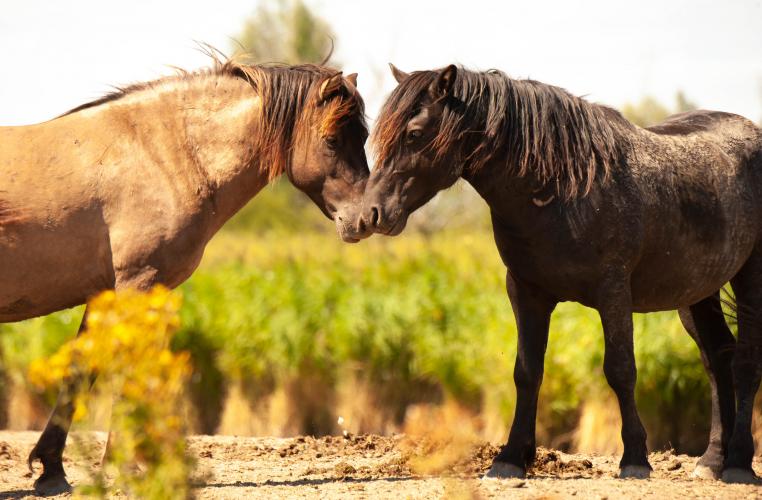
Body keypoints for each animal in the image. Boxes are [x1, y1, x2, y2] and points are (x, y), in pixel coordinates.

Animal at [0, 56, 368, 494]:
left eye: (364, 136)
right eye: (332, 141)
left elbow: (81, 371)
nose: (366, 218)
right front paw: (125, 468)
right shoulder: (138, 286)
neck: (161, 154)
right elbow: (130, 373)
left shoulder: (107, 294)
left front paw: (52, 469)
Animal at [360, 64, 760, 482]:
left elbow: (621, 369)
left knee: (746, 361)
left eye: (414, 133)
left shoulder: (613, 293)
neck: (563, 189)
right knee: (717, 359)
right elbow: (527, 371)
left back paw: (738, 464)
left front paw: (635, 458)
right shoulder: (526, 292)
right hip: (697, 294)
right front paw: (510, 458)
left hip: (750, 276)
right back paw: (712, 460)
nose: (371, 213)